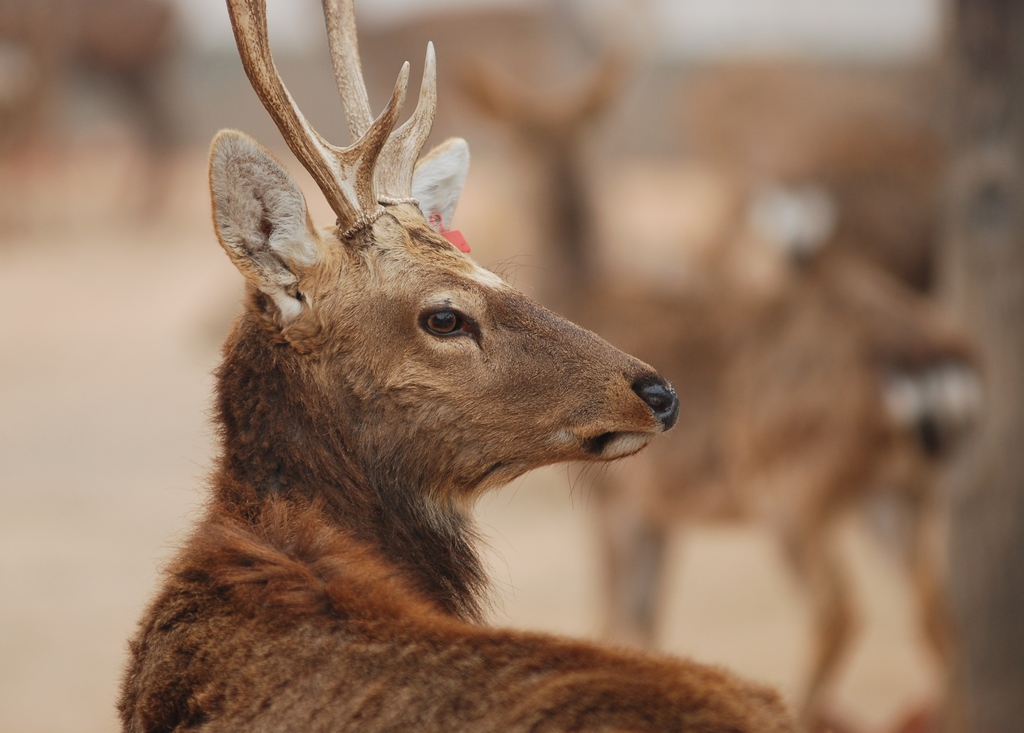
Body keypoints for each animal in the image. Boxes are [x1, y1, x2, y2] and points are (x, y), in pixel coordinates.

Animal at [466, 54, 983, 728]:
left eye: (506, 142)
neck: (587, 296)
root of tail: (927, 356)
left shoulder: (614, 495)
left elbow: (613, 614)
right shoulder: (660, 508)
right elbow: (644, 623)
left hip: (797, 482)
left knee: (840, 612)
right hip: (906, 488)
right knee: (938, 612)